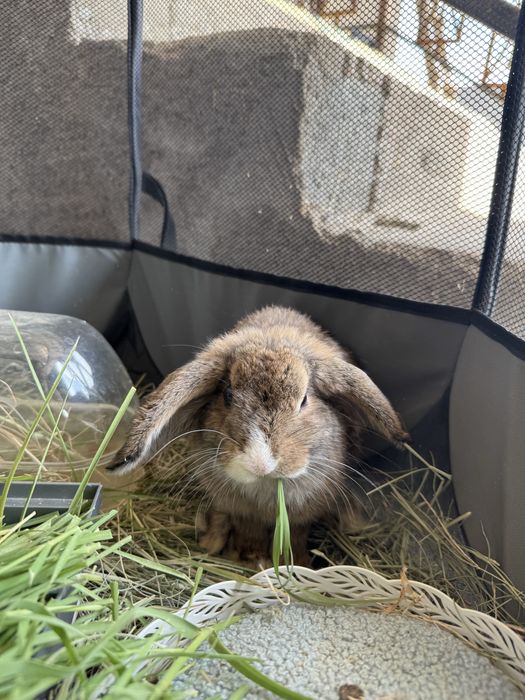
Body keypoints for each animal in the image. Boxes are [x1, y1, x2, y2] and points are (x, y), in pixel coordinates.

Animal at [108, 306, 408, 567]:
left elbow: (295, 536)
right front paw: (248, 558)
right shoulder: (241, 512)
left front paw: (295, 563)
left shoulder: (301, 517)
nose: (260, 463)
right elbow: (247, 532)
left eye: (304, 400)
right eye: (227, 395)